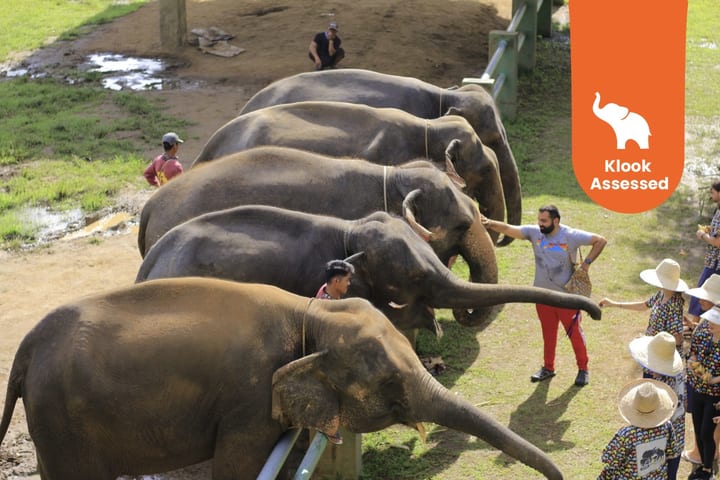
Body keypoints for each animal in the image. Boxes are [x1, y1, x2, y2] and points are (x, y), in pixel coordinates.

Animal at [0, 278, 565, 479]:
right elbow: (236, 468)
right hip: (63, 420)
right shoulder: (246, 400)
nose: (558, 475)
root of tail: (26, 346)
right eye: (390, 388)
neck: (310, 314)